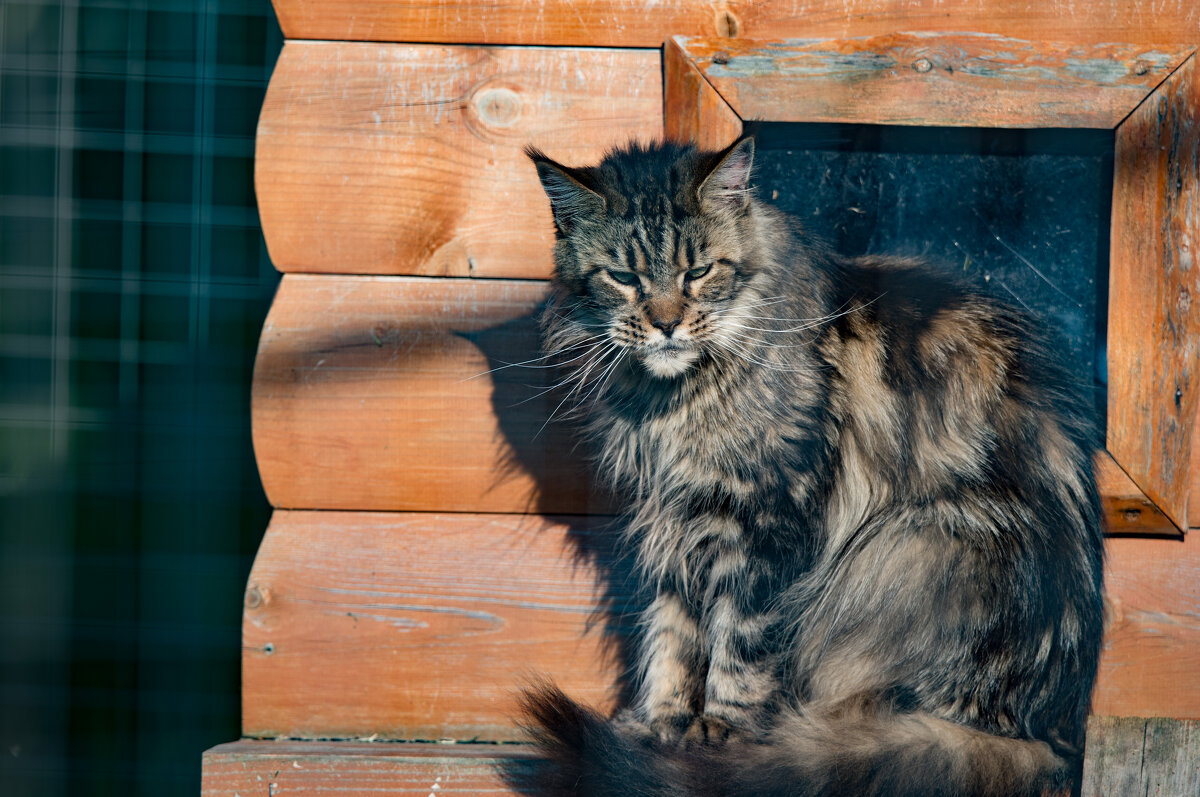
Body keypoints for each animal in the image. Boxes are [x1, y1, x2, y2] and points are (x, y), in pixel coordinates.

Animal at [520, 138, 1099, 797]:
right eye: (623, 277)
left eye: (699, 272)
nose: (666, 324)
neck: (671, 404)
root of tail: (1051, 735)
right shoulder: (676, 519)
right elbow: (670, 635)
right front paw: (660, 723)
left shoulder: (766, 520)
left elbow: (737, 644)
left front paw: (719, 733)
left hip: (910, 546)